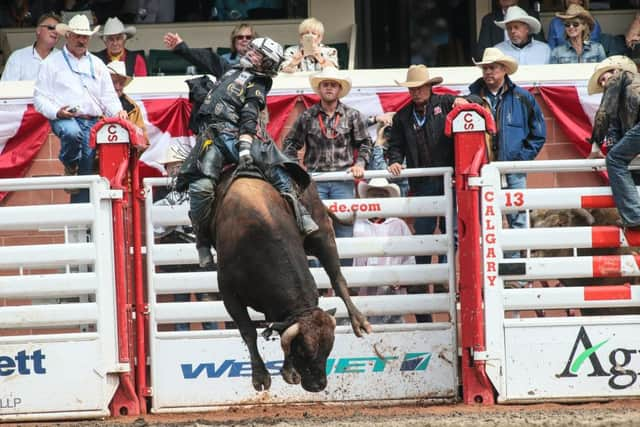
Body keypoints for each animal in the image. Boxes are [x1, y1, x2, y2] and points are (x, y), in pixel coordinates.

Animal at [212, 171, 370, 394]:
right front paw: (261, 376)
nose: (319, 385)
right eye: (302, 351)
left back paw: (358, 320)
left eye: (328, 350)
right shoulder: (228, 294)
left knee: (337, 279)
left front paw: (288, 372)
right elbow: (249, 331)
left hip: (322, 232)